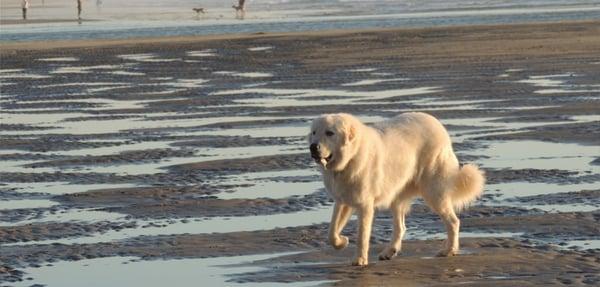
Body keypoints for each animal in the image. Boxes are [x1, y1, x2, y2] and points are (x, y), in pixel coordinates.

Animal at [308, 113, 486, 268]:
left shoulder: (365, 205)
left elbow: (362, 236)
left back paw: (449, 250)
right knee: (401, 227)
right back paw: (389, 251)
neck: (350, 158)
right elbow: (331, 231)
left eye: (330, 133)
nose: (313, 147)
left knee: (453, 222)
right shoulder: (342, 200)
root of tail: (436, 123)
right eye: (314, 132)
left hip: (434, 192)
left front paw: (359, 259)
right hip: (398, 195)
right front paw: (342, 242)